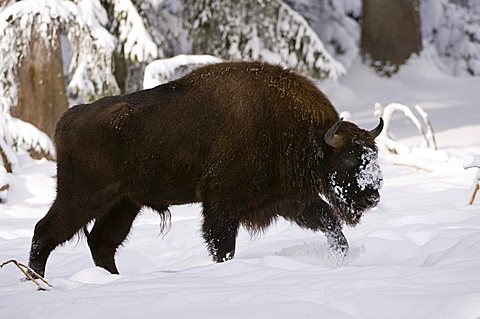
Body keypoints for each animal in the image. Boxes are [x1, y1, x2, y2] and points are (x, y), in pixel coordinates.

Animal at [29, 60, 382, 278]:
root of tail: (69, 118)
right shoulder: (222, 204)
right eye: (349, 160)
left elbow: (330, 223)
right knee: (45, 232)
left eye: (373, 156)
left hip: (124, 203)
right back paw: (38, 281)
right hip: (83, 197)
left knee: (102, 243)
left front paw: (341, 257)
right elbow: (223, 245)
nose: (373, 197)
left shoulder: (288, 201)